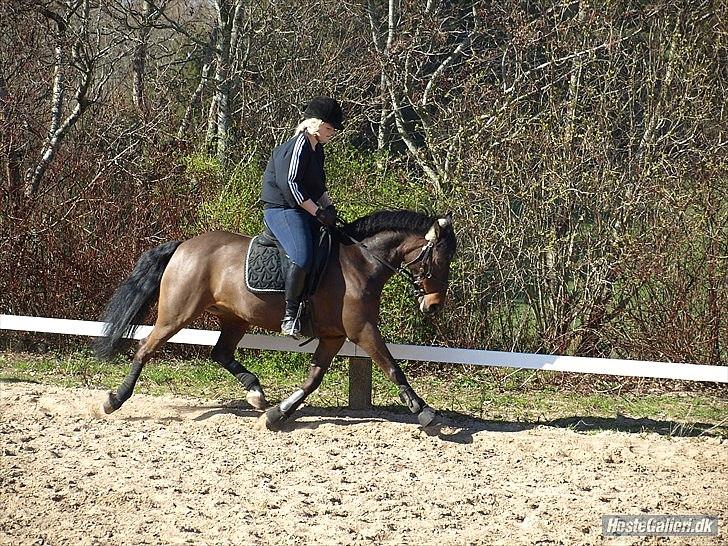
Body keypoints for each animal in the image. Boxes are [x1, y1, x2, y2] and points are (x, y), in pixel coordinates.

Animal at [95, 209, 457, 429]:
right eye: (439, 259)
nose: (434, 306)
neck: (361, 264)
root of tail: (184, 245)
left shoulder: (334, 336)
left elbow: (312, 379)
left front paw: (277, 414)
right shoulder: (362, 330)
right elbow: (393, 368)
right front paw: (424, 411)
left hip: (235, 317)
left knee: (220, 353)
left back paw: (256, 393)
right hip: (178, 313)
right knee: (146, 347)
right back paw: (114, 400)